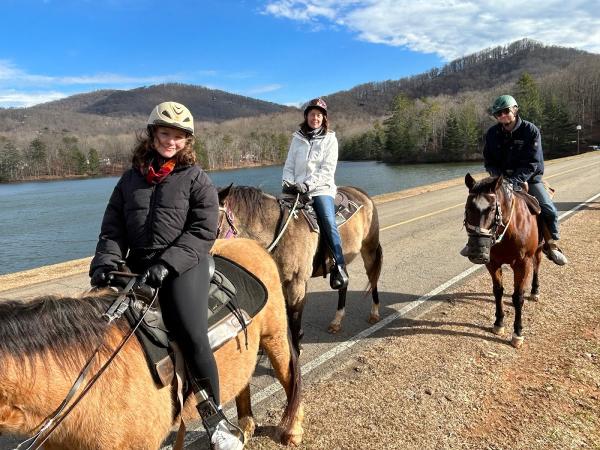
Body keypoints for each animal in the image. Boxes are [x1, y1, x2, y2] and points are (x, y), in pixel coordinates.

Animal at [218, 184, 382, 352]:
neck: (280, 232)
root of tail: (361, 193)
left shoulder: (296, 283)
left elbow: (294, 318)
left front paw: (297, 348)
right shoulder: (284, 282)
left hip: (369, 250)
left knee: (373, 279)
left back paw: (374, 313)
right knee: (343, 284)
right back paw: (337, 321)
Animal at [464, 174, 544, 350]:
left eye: (492, 209)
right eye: (467, 208)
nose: (478, 250)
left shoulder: (522, 264)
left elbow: (518, 297)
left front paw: (517, 333)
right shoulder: (493, 263)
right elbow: (498, 291)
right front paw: (499, 323)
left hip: (538, 251)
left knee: (537, 265)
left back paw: (535, 290)